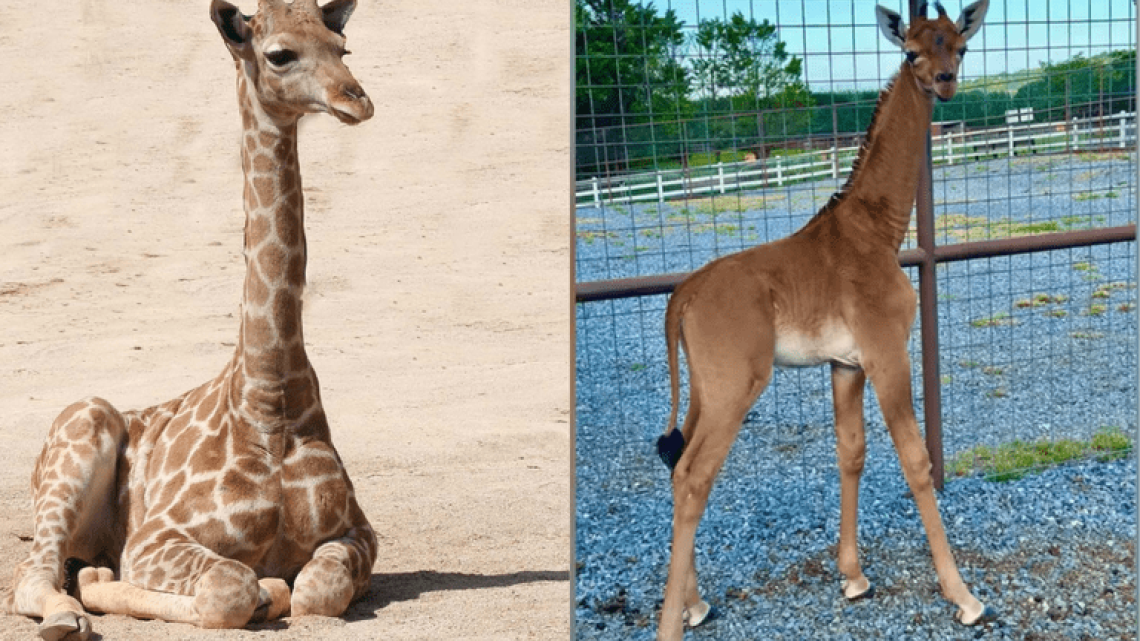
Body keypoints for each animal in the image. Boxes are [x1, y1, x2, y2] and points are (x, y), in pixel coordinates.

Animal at [3, 1, 377, 638]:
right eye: (280, 54)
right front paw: (263, 592)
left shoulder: (360, 531)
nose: (356, 99)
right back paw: (68, 614)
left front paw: (283, 591)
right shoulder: (155, 540)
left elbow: (316, 593)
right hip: (79, 429)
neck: (270, 400)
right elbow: (231, 589)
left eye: (341, 47)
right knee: (37, 576)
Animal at [653, 3, 993, 639]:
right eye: (912, 51)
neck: (879, 232)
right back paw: (673, 620)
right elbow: (917, 462)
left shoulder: (845, 363)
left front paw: (854, 576)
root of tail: (682, 295)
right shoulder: (887, 353)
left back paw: (695, 603)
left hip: (705, 388)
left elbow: (851, 452)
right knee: (693, 475)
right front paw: (964, 596)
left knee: (674, 462)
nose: (944, 83)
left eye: (959, 46)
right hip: (736, 385)